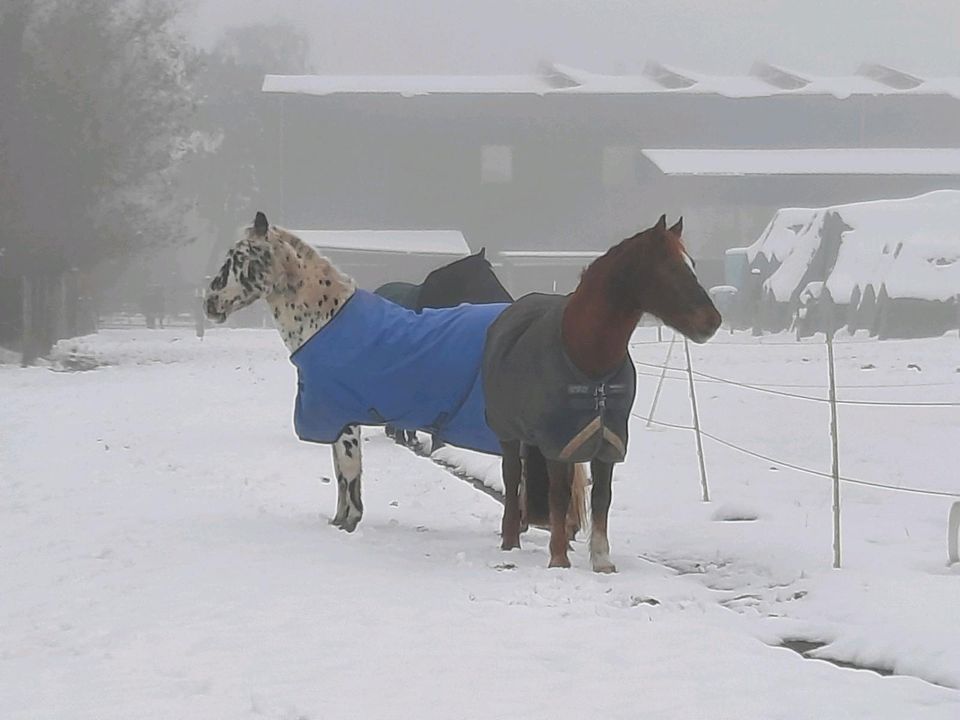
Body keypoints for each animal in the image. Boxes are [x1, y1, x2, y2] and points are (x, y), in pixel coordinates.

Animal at [484, 217, 716, 572]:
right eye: (669, 267)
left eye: (692, 264)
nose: (712, 322)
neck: (590, 362)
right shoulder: (558, 442)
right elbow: (558, 496)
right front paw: (558, 559)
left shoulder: (606, 442)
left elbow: (601, 499)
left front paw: (602, 560)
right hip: (509, 434)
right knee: (512, 480)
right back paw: (511, 541)